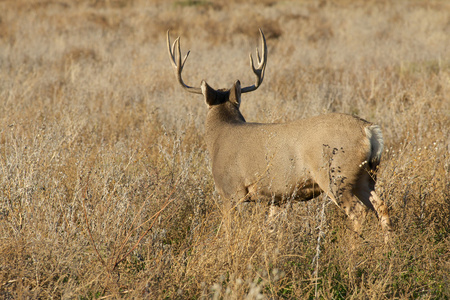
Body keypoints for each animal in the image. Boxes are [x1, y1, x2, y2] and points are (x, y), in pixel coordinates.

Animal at [167, 29, 392, 243]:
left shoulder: (231, 190)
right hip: (366, 175)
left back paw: (354, 250)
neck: (220, 136)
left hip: (336, 175)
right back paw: (388, 246)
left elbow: (230, 230)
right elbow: (272, 228)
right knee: (380, 205)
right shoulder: (275, 197)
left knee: (358, 211)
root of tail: (369, 130)